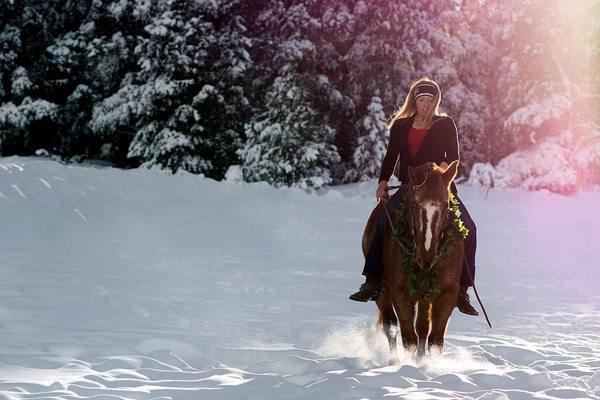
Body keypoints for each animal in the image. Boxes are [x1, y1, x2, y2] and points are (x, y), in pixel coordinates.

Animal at [360, 160, 464, 366]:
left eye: (446, 204)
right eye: (415, 204)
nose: (426, 256)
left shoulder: (448, 293)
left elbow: (435, 340)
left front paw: (431, 367)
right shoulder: (399, 291)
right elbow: (408, 338)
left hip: (424, 296)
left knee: (422, 328)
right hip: (383, 291)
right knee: (390, 326)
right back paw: (394, 360)